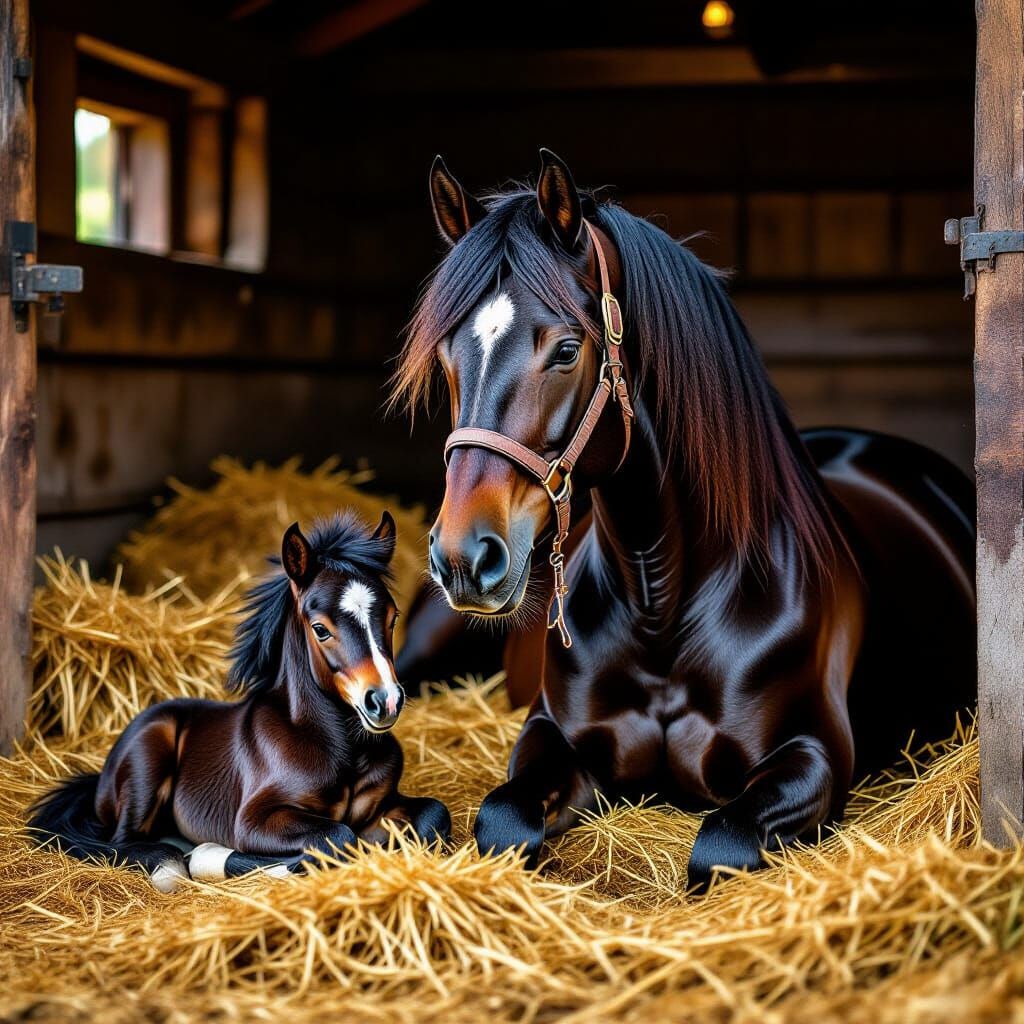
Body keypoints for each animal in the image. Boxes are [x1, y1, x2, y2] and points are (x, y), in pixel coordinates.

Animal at [29, 512, 451, 892]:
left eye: (393, 618)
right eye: (320, 629)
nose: (386, 701)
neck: (339, 749)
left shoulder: (382, 806)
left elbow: (434, 814)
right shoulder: (253, 820)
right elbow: (337, 836)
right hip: (149, 754)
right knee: (124, 841)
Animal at [392, 149, 976, 891]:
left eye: (566, 349)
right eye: (445, 355)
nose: (466, 557)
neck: (661, 601)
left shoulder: (814, 757)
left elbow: (719, 844)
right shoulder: (550, 732)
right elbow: (503, 819)